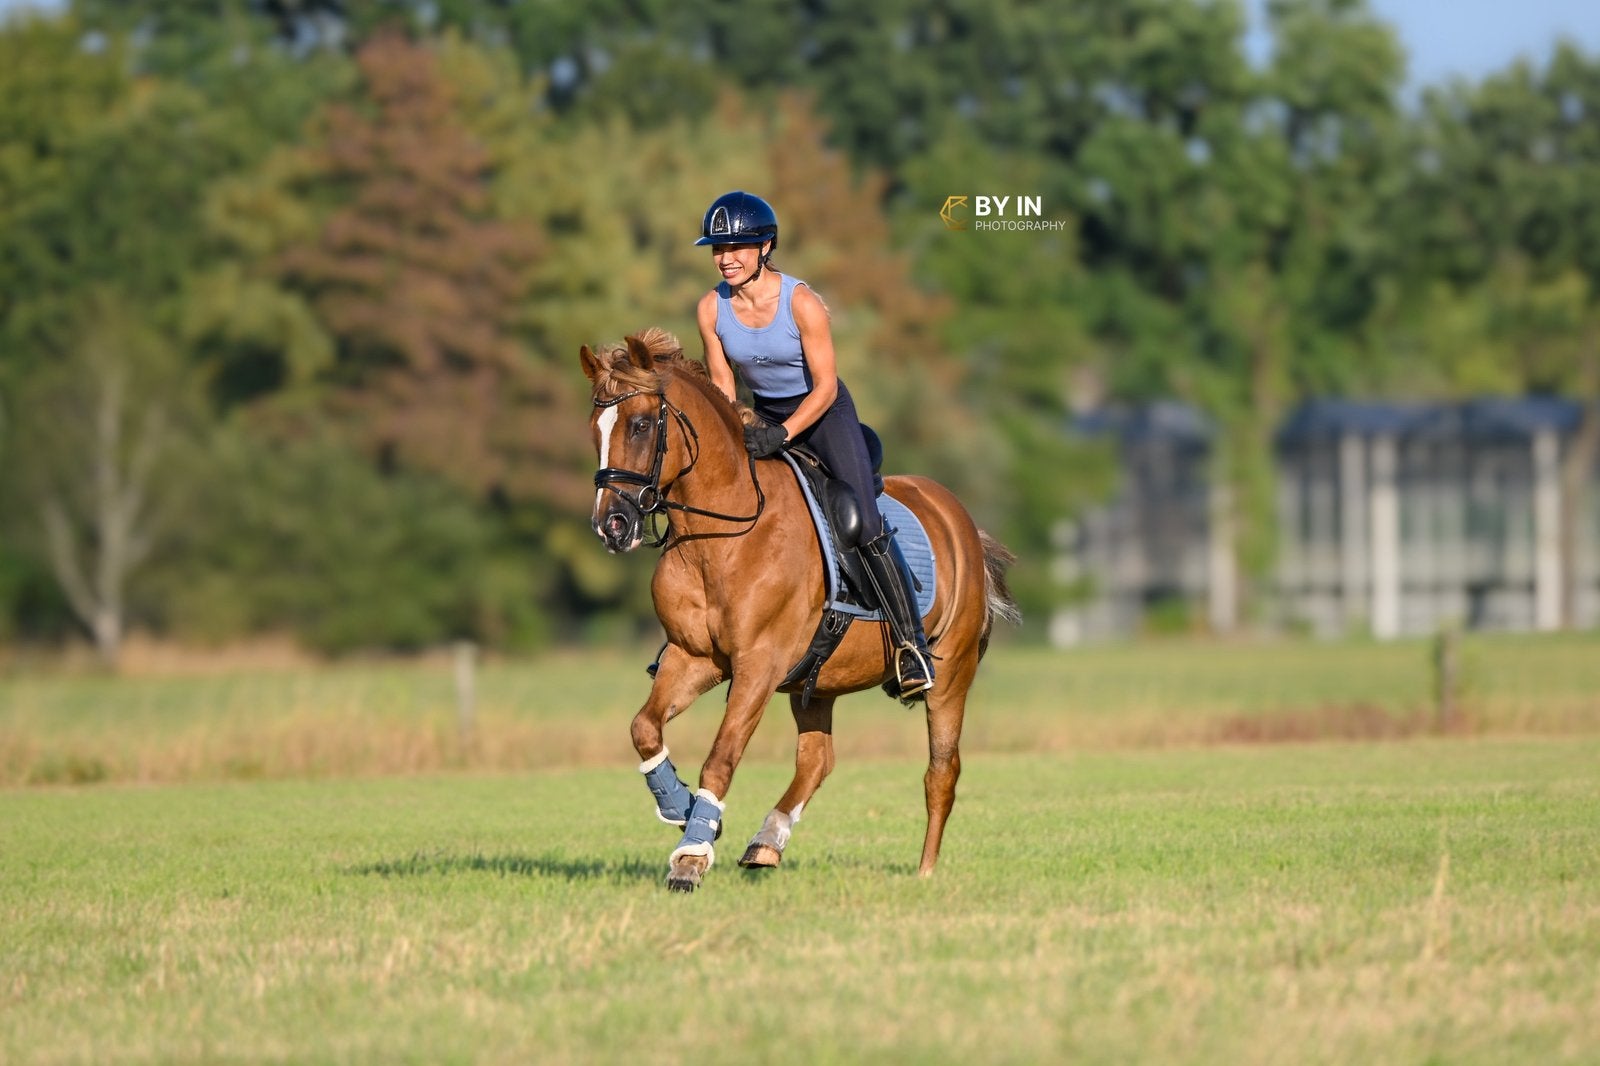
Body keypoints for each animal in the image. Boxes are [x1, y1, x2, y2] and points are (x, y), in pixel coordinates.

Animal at [579, 329, 1019, 892]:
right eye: (596, 430)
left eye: (639, 424)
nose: (611, 525)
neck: (720, 536)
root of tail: (957, 515)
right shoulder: (694, 657)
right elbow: (644, 728)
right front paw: (681, 810)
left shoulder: (758, 666)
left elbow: (721, 758)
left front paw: (692, 856)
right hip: (818, 679)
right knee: (817, 760)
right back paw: (766, 843)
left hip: (951, 677)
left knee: (941, 771)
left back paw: (923, 873)